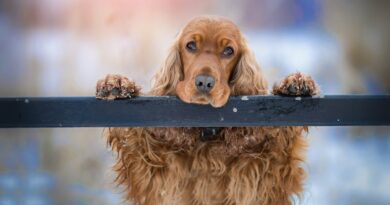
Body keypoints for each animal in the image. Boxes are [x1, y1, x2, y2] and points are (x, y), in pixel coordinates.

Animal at [96, 16, 318, 205]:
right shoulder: (152, 173)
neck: (207, 134)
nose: (204, 82)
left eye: (228, 50)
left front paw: (295, 83)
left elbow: (282, 143)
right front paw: (116, 84)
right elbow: (132, 137)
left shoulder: (264, 175)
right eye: (191, 45)